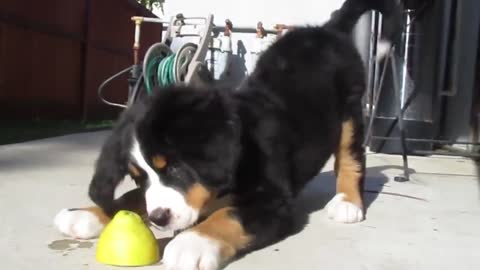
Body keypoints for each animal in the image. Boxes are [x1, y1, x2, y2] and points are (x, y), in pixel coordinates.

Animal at [54, 1, 404, 268]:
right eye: (139, 177)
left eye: (177, 167)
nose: (158, 219)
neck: (242, 148)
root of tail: (327, 30)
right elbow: (132, 198)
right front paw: (88, 214)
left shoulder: (273, 202)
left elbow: (230, 214)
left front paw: (193, 242)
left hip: (350, 111)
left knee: (351, 155)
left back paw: (348, 202)